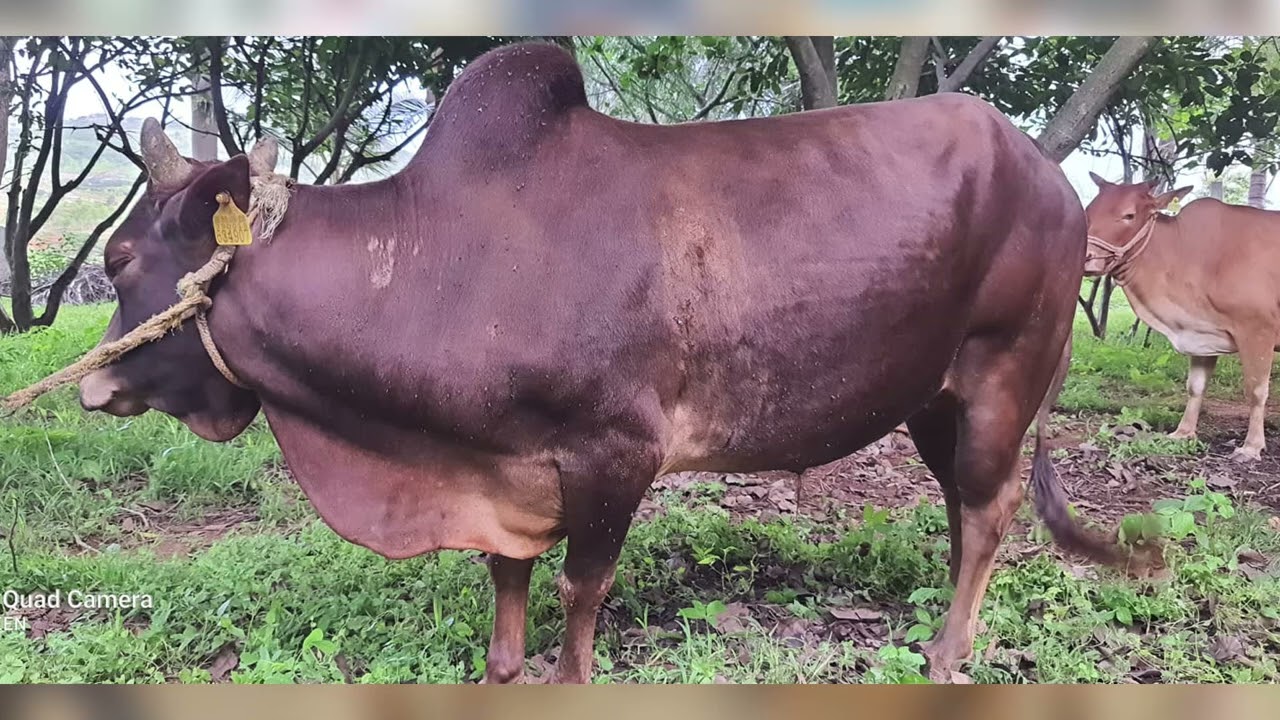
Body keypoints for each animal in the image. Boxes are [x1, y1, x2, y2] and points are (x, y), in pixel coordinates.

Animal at [77, 41, 1124, 683]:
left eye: (119, 260)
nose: (93, 384)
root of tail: (1048, 174)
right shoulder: (499, 473)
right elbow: (505, 596)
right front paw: (502, 669)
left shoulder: (614, 457)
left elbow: (580, 598)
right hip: (932, 400)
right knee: (960, 507)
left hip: (1001, 379)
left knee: (989, 513)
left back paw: (948, 652)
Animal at [1084, 174, 1280, 461]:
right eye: (1088, 212)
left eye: (1129, 215)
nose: (1086, 256)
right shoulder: (1202, 333)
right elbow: (1195, 386)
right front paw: (1183, 432)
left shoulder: (1257, 330)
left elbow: (1256, 391)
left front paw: (1252, 446)